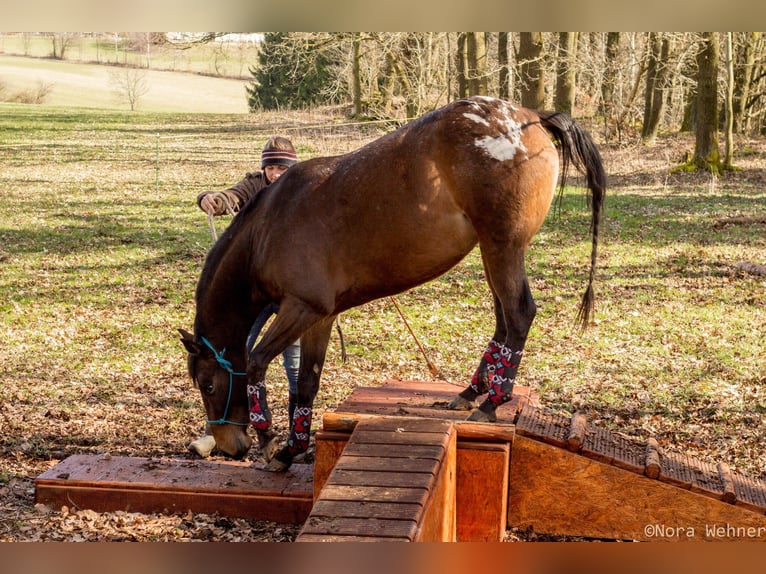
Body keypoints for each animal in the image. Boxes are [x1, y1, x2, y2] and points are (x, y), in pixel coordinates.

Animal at [180, 95, 608, 472]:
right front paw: (290, 449)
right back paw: (472, 392)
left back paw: (491, 403)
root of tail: (531, 116)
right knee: (503, 319)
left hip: (503, 247)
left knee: (519, 313)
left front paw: (270, 439)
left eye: (208, 386)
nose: (230, 446)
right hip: (493, 252)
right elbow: (306, 385)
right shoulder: (319, 317)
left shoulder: (301, 309)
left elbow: (255, 363)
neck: (267, 228)